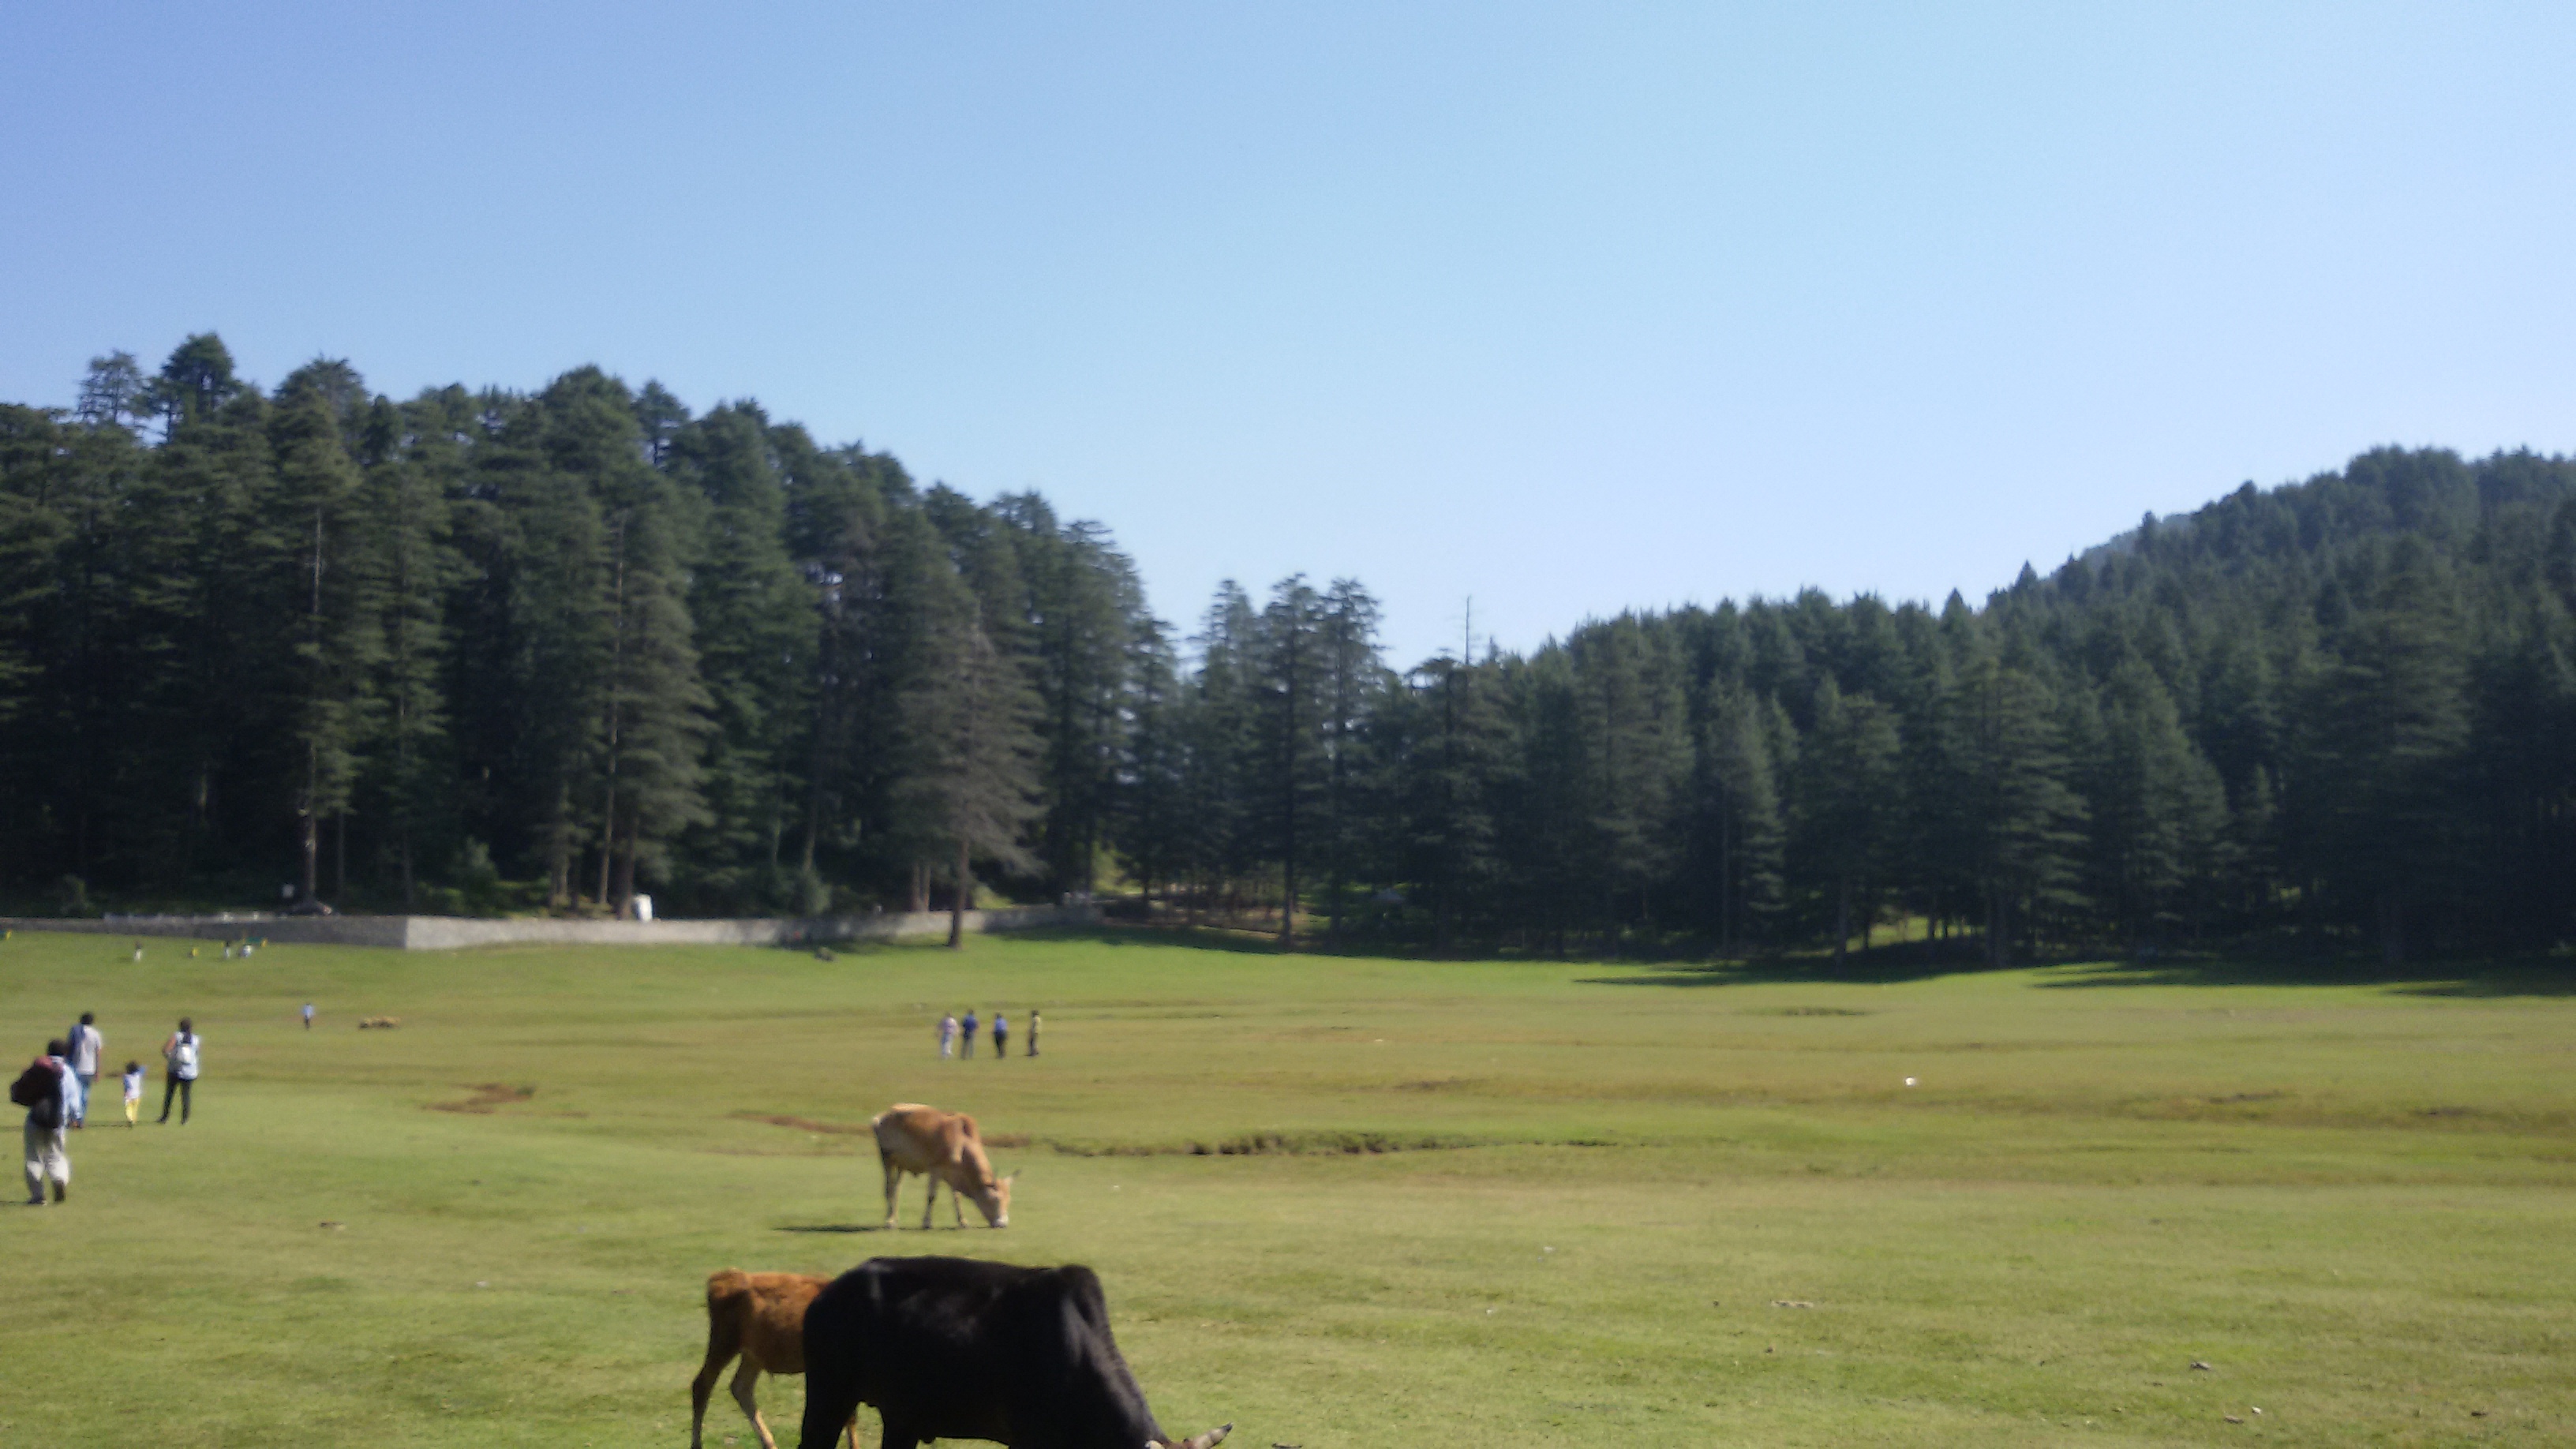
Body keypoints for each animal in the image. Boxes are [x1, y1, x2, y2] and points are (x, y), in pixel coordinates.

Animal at [875, 1098, 1015, 1222]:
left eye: (1008, 1200)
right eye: (995, 1199)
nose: (1002, 1223)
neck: (961, 1142)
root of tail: (882, 1117)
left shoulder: (955, 1175)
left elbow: (957, 1196)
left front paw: (962, 1221)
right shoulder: (936, 1170)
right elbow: (931, 1196)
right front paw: (927, 1222)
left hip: (901, 1165)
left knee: (896, 1189)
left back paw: (894, 1216)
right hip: (887, 1160)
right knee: (889, 1189)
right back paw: (889, 1220)